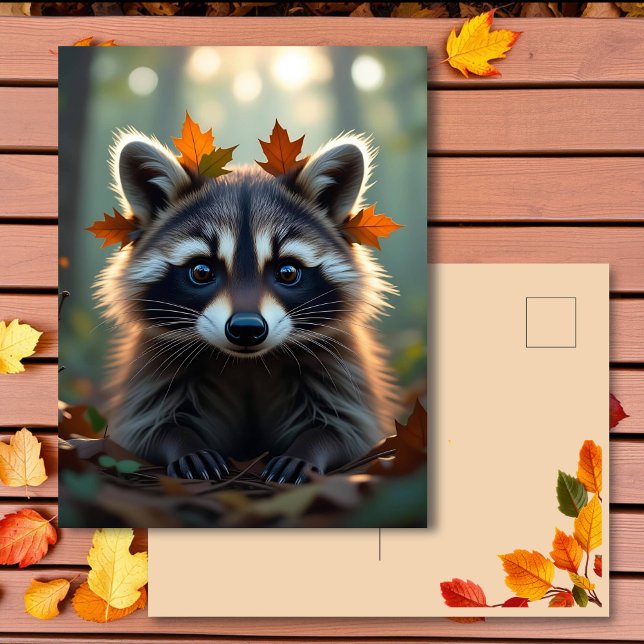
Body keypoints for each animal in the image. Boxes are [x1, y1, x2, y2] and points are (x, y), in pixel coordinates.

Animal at [97, 128, 400, 484]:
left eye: (287, 272)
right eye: (202, 271)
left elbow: (347, 428)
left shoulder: (338, 364)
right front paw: (184, 445)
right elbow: (148, 426)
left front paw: (308, 450)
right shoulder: (156, 366)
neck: (249, 363)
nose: (246, 329)